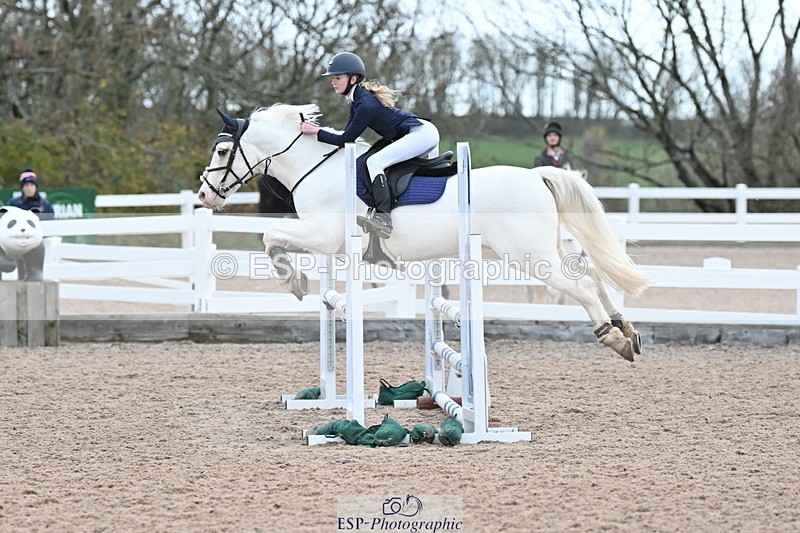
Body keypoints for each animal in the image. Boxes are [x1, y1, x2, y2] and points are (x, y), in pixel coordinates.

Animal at [196, 104, 649, 361]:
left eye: (223, 150)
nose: (203, 194)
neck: (317, 167)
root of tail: (536, 176)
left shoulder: (324, 235)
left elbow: (270, 236)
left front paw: (293, 281)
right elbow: (273, 238)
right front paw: (296, 280)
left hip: (528, 257)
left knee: (582, 287)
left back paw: (614, 339)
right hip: (546, 249)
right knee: (591, 276)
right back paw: (626, 328)